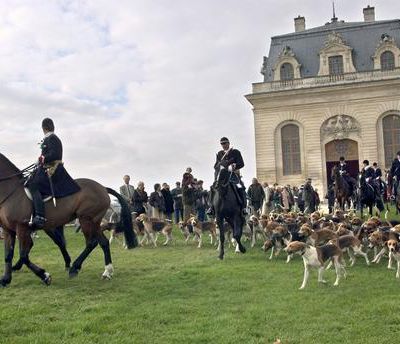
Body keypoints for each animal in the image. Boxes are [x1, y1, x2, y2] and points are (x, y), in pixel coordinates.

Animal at [0, 155, 138, 286]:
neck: (12, 192)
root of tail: (102, 188)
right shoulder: (8, 230)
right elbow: (8, 255)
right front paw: (6, 279)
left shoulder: (22, 228)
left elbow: (24, 255)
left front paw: (45, 276)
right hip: (94, 222)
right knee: (103, 242)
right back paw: (107, 272)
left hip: (86, 219)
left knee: (91, 243)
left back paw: (75, 268)